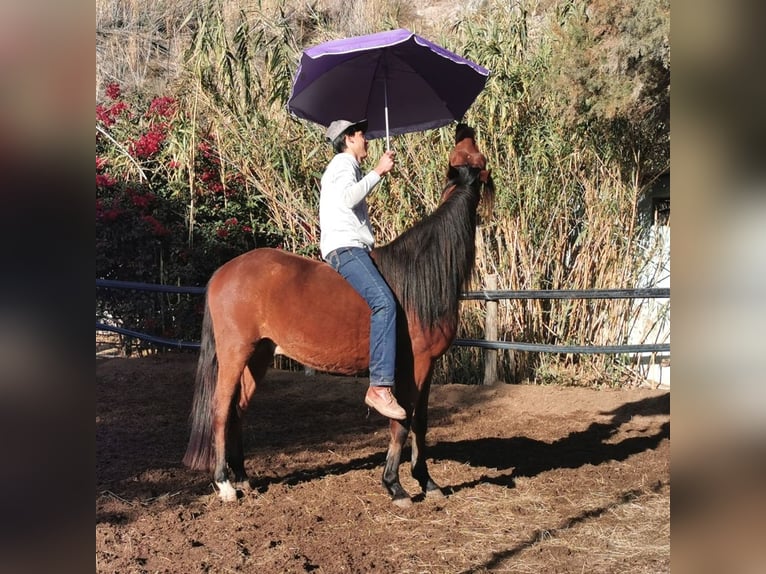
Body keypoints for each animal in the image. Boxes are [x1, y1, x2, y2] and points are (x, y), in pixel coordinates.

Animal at [183, 126, 496, 508]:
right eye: (469, 154)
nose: (464, 128)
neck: (420, 273)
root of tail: (223, 272)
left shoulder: (428, 364)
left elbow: (421, 421)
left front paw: (426, 481)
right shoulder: (415, 364)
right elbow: (402, 421)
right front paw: (395, 485)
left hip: (257, 357)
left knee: (237, 410)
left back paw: (243, 478)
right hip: (234, 353)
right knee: (220, 410)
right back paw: (225, 484)